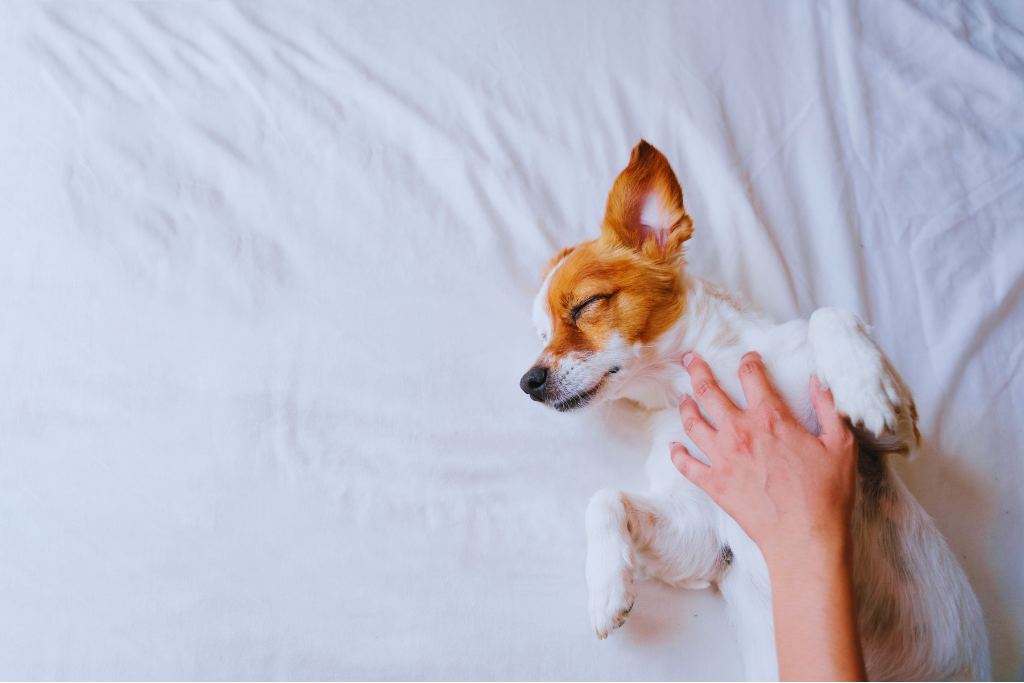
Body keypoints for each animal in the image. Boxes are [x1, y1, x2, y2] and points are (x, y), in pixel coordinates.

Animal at [520, 141, 989, 680]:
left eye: (586, 305)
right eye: (542, 337)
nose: (528, 382)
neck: (692, 381)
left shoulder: (892, 438)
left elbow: (829, 314)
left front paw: (863, 387)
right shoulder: (706, 539)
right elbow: (604, 497)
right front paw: (605, 588)